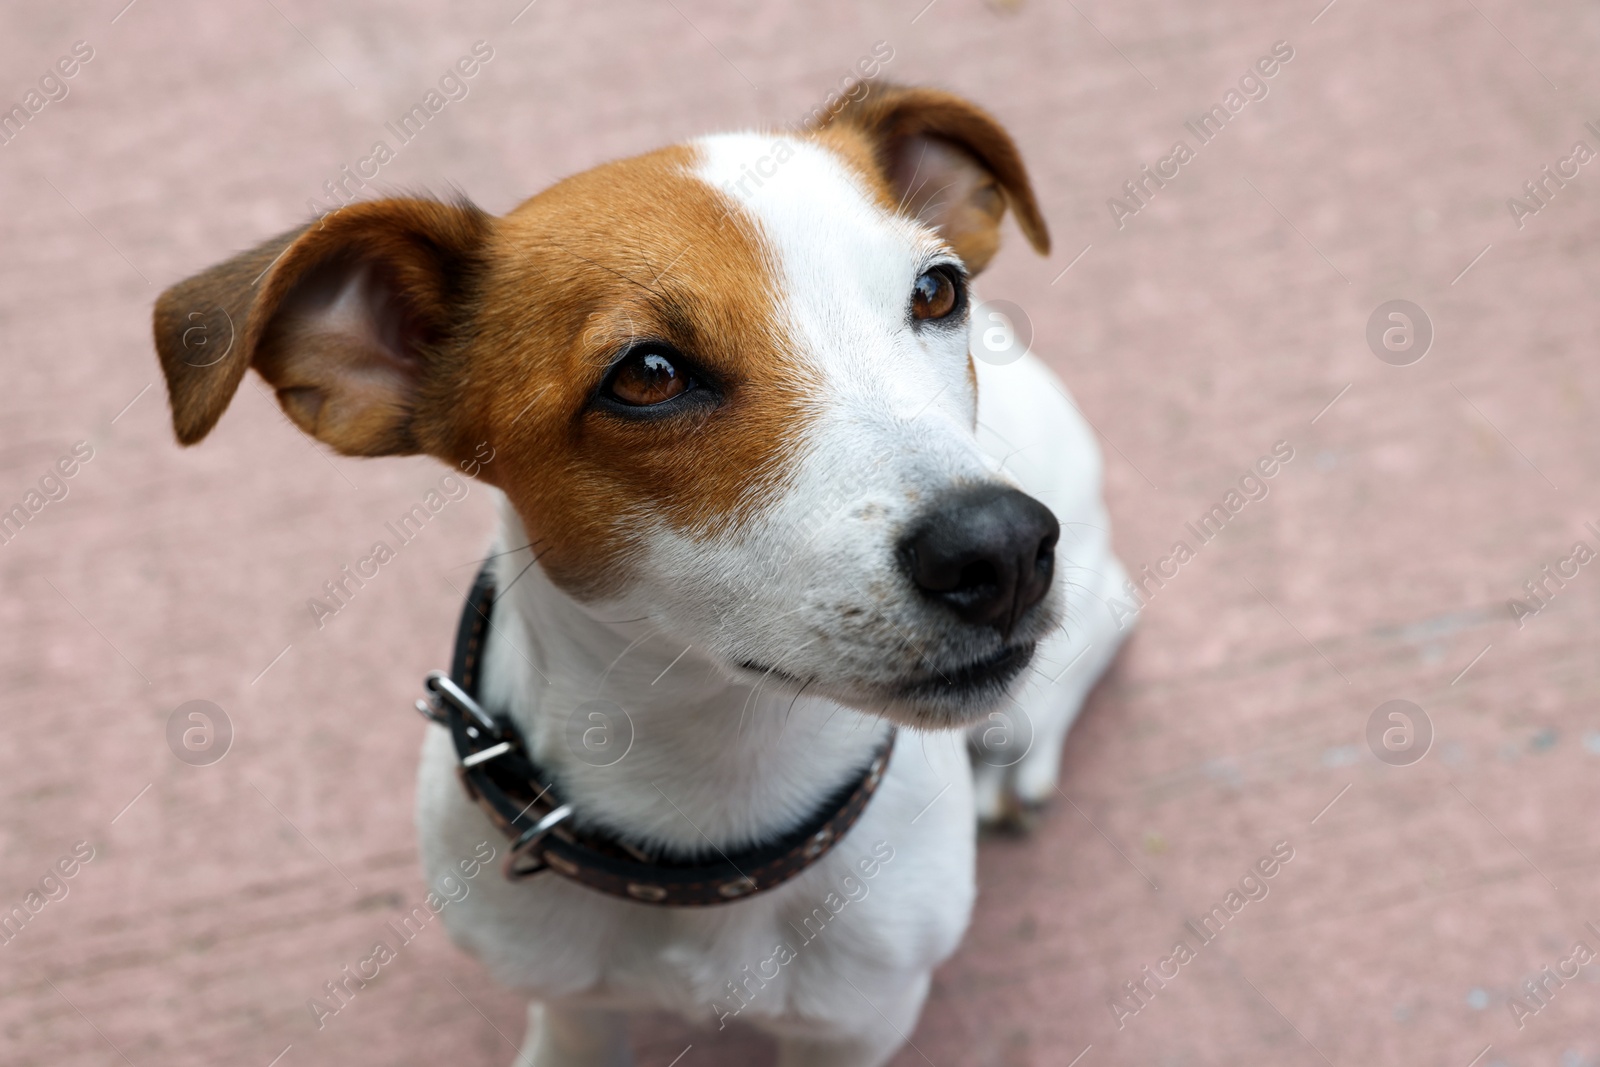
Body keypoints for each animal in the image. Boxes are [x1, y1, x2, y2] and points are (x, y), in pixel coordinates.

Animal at [147, 85, 1126, 1067]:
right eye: (648, 374)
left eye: (934, 290)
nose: (1001, 548)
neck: (712, 800)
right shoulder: (570, 1004)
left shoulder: (858, 1021)